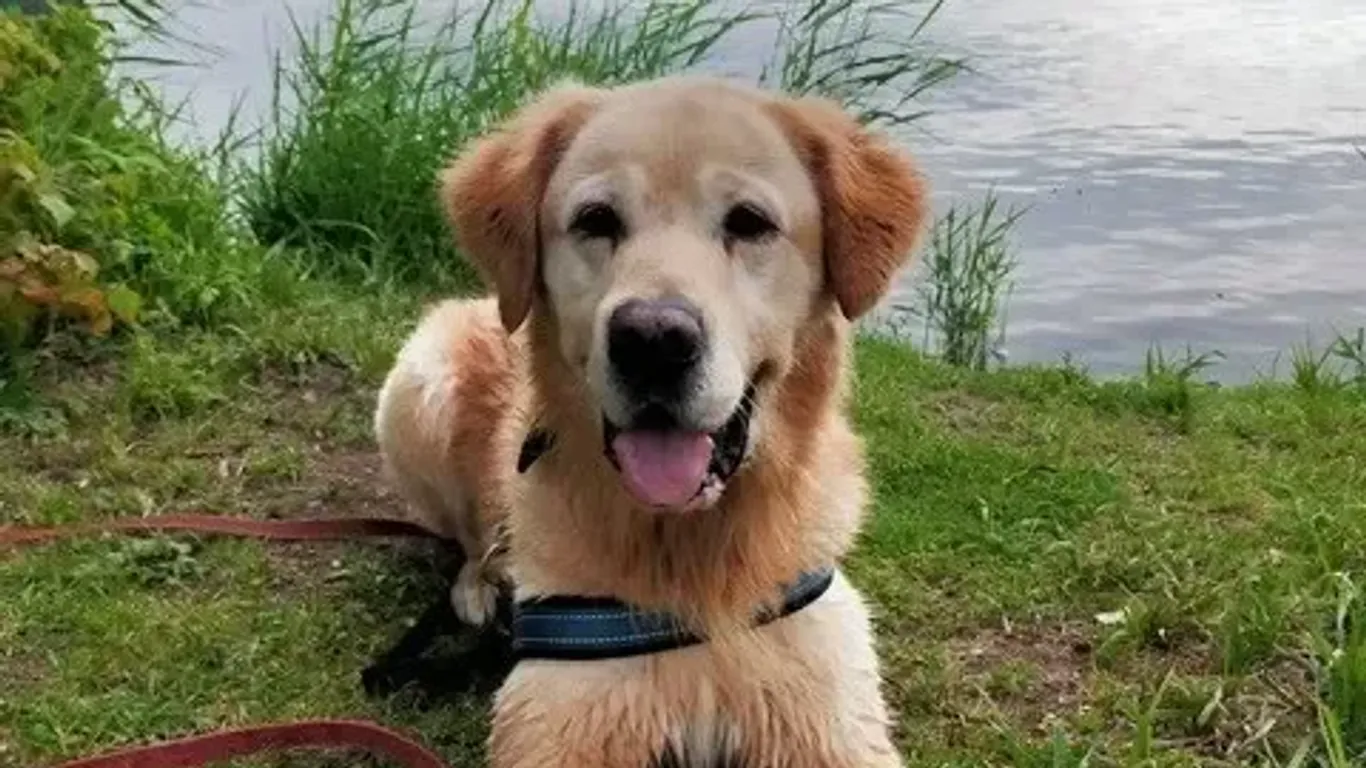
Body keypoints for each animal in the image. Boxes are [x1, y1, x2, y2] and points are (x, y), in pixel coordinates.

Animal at [374, 74, 928, 759]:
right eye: (596, 220)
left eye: (750, 222)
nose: (654, 341)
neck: (687, 552)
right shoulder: (562, 713)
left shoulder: (828, 711)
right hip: (418, 386)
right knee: (469, 540)